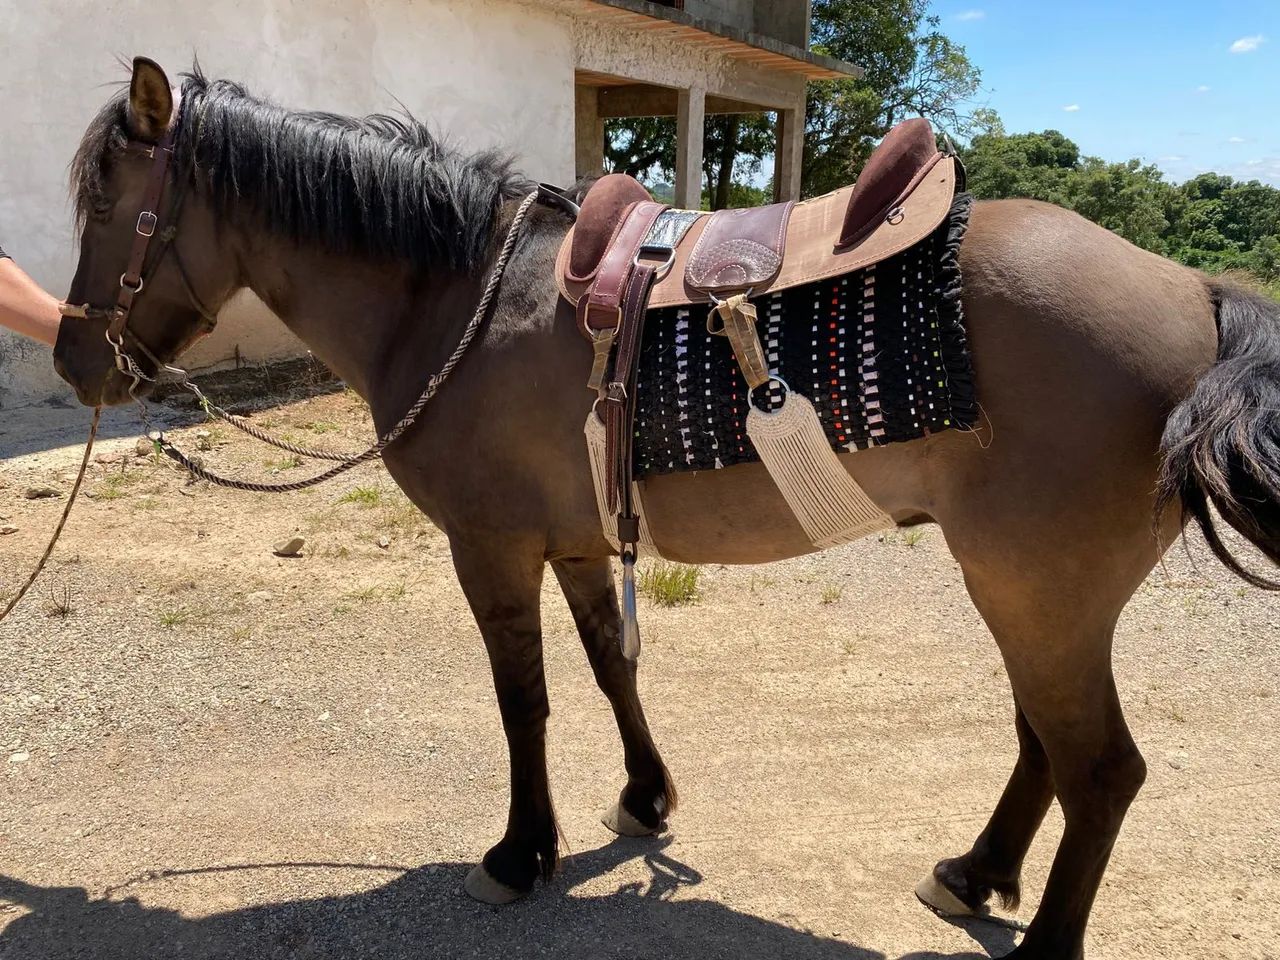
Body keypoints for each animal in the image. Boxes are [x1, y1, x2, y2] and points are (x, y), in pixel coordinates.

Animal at [52, 59, 1280, 960]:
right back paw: (974, 875)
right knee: (1046, 746)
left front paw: (519, 854)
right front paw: (644, 801)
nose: (73, 362)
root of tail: (1197, 291)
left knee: (1100, 772)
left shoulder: (491, 548)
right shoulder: (579, 540)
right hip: (1031, 596)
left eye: (109, 201)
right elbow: (610, 669)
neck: (451, 296)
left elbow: (525, 702)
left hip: (1039, 593)